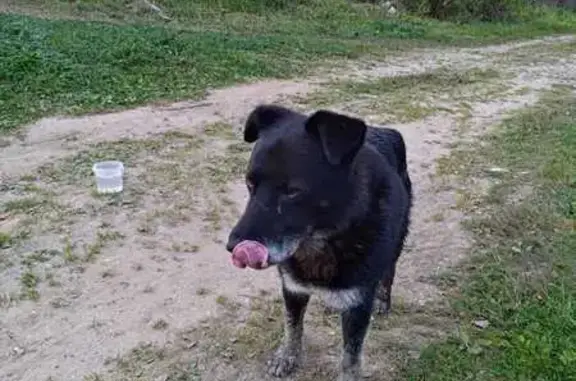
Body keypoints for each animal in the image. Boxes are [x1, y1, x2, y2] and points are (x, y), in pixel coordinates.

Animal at [227, 104, 412, 380]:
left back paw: (382, 300)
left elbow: (350, 357)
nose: (232, 246)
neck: (321, 242)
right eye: (250, 183)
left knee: (389, 271)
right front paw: (287, 356)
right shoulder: (293, 287)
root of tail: (388, 131)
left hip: (397, 242)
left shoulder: (358, 305)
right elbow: (292, 327)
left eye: (293, 191)